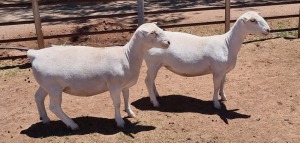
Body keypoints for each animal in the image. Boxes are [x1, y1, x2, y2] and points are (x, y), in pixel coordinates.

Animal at [27, 22, 170, 130]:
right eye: (153, 33)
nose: (168, 42)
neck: (127, 56)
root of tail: (35, 54)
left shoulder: (125, 85)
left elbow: (126, 99)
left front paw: (130, 113)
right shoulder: (114, 86)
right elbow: (117, 103)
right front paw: (119, 122)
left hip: (45, 85)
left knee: (38, 97)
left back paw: (45, 119)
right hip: (54, 87)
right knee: (54, 107)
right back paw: (72, 124)